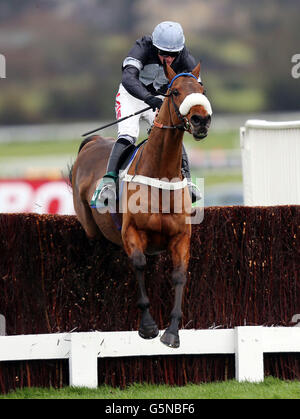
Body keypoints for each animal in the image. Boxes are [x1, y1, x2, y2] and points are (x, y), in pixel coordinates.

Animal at [71, 62, 211, 348]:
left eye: (201, 90)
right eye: (175, 91)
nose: (201, 120)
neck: (160, 173)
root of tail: (93, 142)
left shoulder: (181, 236)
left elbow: (179, 275)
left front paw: (172, 331)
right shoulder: (132, 233)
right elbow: (138, 264)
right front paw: (147, 326)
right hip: (90, 228)